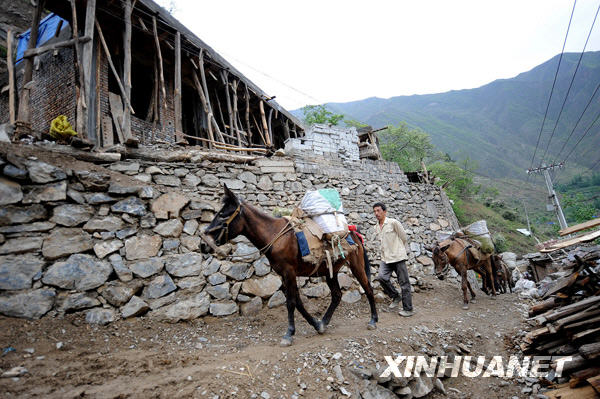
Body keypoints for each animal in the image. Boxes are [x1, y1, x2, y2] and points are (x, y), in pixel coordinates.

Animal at [204, 184, 378, 346]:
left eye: (222, 215)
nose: (204, 244)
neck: (275, 235)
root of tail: (353, 232)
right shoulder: (284, 275)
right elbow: (298, 302)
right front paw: (316, 325)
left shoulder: (289, 272)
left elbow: (291, 302)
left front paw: (289, 334)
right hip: (331, 270)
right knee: (336, 295)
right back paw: (324, 322)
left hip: (356, 265)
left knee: (368, 288)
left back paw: (373, 320)